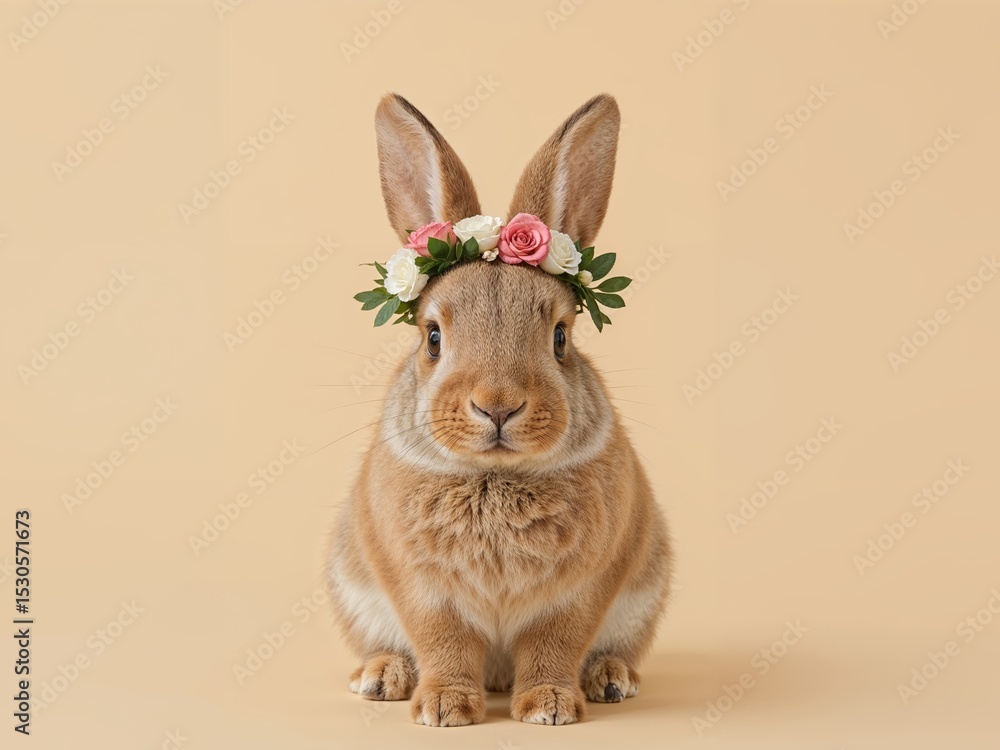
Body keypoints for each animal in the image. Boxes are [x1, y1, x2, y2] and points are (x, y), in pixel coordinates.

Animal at [326, 93, 672, 726]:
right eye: (433, 337)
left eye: (560, 337)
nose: (498, 406)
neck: (495, 474)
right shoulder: (421, 588)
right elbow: (444, 641)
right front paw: (443, 709)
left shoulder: (580, 589)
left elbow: (554, 642)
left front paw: (549, 707)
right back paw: (382, 676)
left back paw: (610, 678)